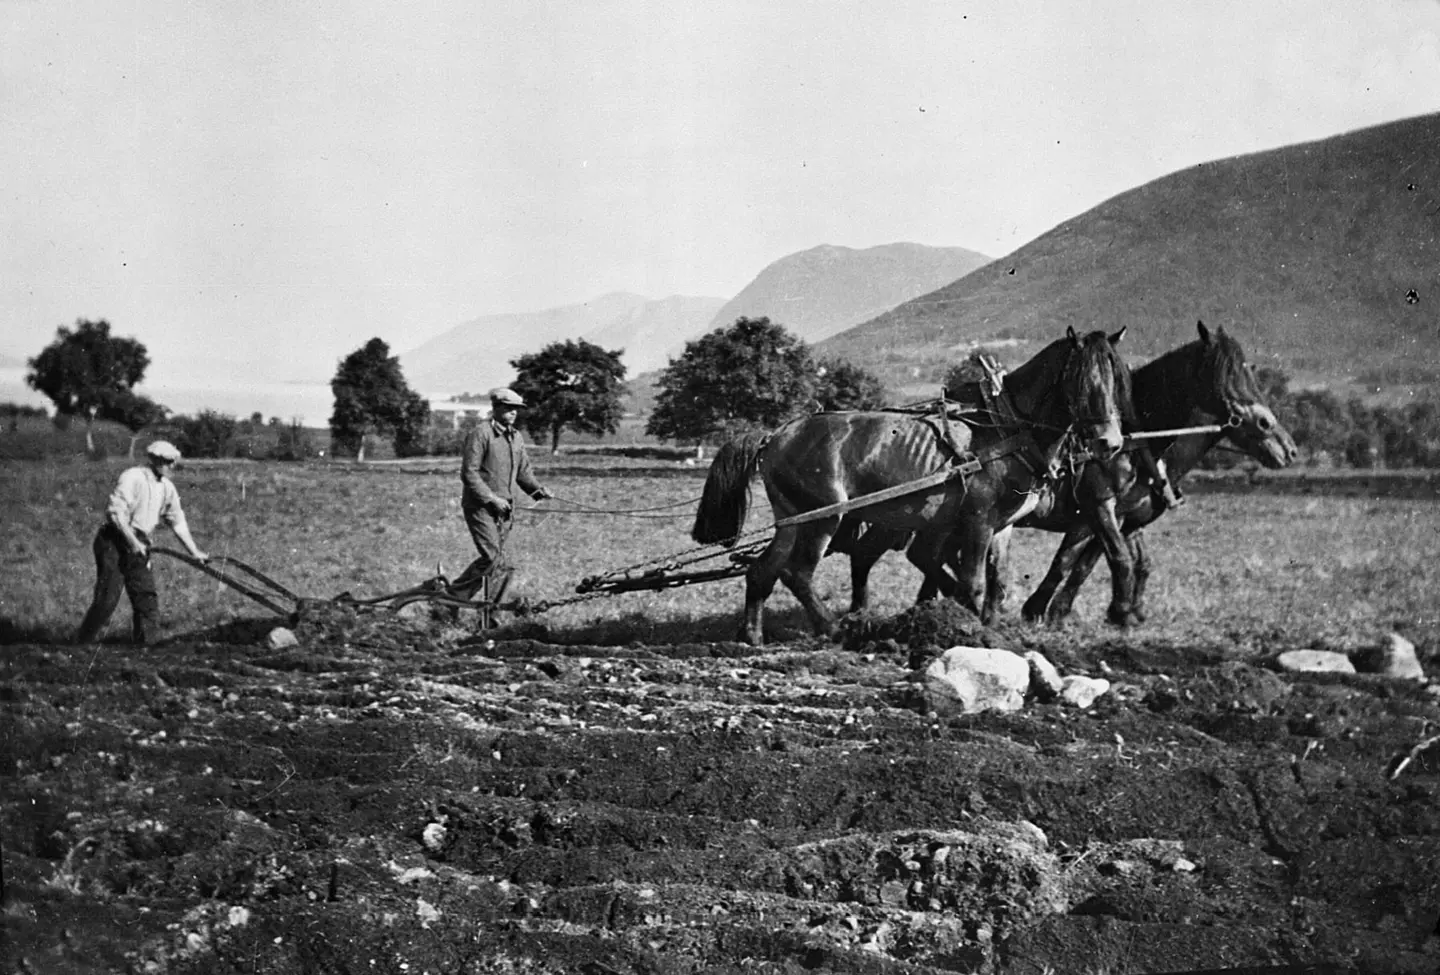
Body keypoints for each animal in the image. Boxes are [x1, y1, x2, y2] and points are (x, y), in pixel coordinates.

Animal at [691, 326, 1128, 645]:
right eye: (1081, 381)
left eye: (1117, 380)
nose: (1109, 443)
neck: (1005, 428)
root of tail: (776, 435)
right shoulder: (978, 521)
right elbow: (974, 584)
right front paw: (969, 632)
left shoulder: (1003, 526)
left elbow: (999, 585)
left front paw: (992, 633)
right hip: (822, 518)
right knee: (797, 573)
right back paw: (832, 628)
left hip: (791, 518)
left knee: (763, 571)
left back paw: (751, 636)